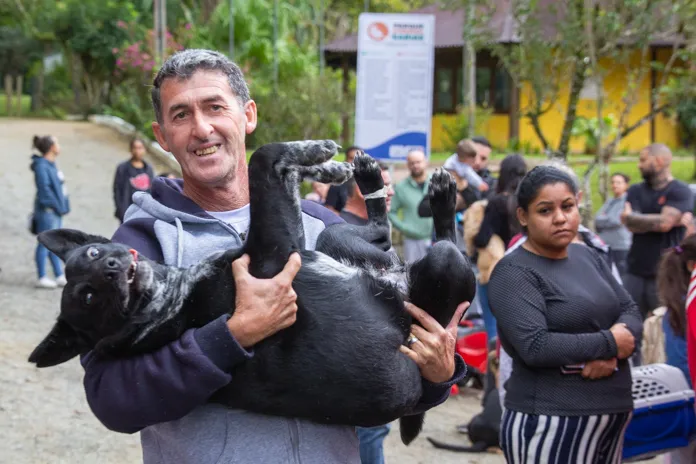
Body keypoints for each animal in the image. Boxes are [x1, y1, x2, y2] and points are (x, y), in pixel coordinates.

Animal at [29, 140, 476, 444]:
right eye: (88, 297)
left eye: (91, 253)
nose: (111, 269)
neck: (173, 306)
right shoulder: (279, 245)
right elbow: (263, 155)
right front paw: (319, 152)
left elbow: (275, 166)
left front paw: (326, 169)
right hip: (442, 268)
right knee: (449, 248)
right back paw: (440, 198)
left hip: (332, 238)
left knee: (381, 233)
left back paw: (370, 180)